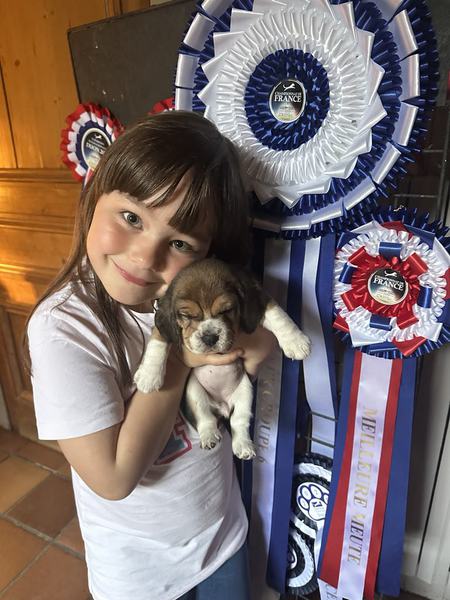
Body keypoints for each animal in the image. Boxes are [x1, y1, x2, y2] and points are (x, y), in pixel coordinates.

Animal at [134, 258, 311, 460]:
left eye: (226, 310)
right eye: (187, 315)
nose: (210, 338)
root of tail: (222, 407)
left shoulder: (261, 298)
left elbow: (277, 314)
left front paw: (296, 342)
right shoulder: (163, 326)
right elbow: (158, 338)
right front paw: (149, 376)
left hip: (245, 392)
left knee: (238, 422)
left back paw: (243, 446)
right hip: (194, 392)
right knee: (206, 419)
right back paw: (209, 437)